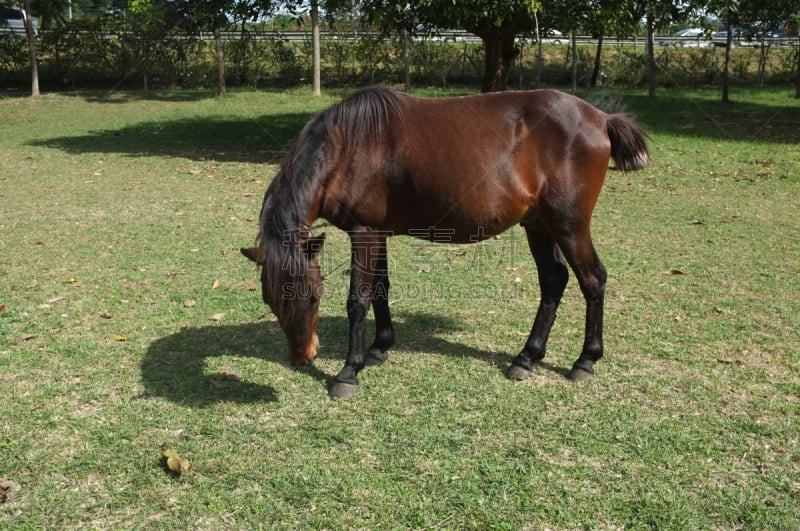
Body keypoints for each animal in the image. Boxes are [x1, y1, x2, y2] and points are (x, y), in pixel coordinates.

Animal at [241, 85, 648, 396]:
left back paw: (585, 360)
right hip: (538, 224)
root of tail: (601, 118)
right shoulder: (379, 233)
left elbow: (359, 299)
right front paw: (380, 347)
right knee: (553, 280)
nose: (301, 357)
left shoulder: (364, 232)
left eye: (313, 296)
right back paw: (527, 357)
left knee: (592, 280)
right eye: (270, 300)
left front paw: (348, 371)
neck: (348, 146)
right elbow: (381, 289)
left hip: (569, 224)